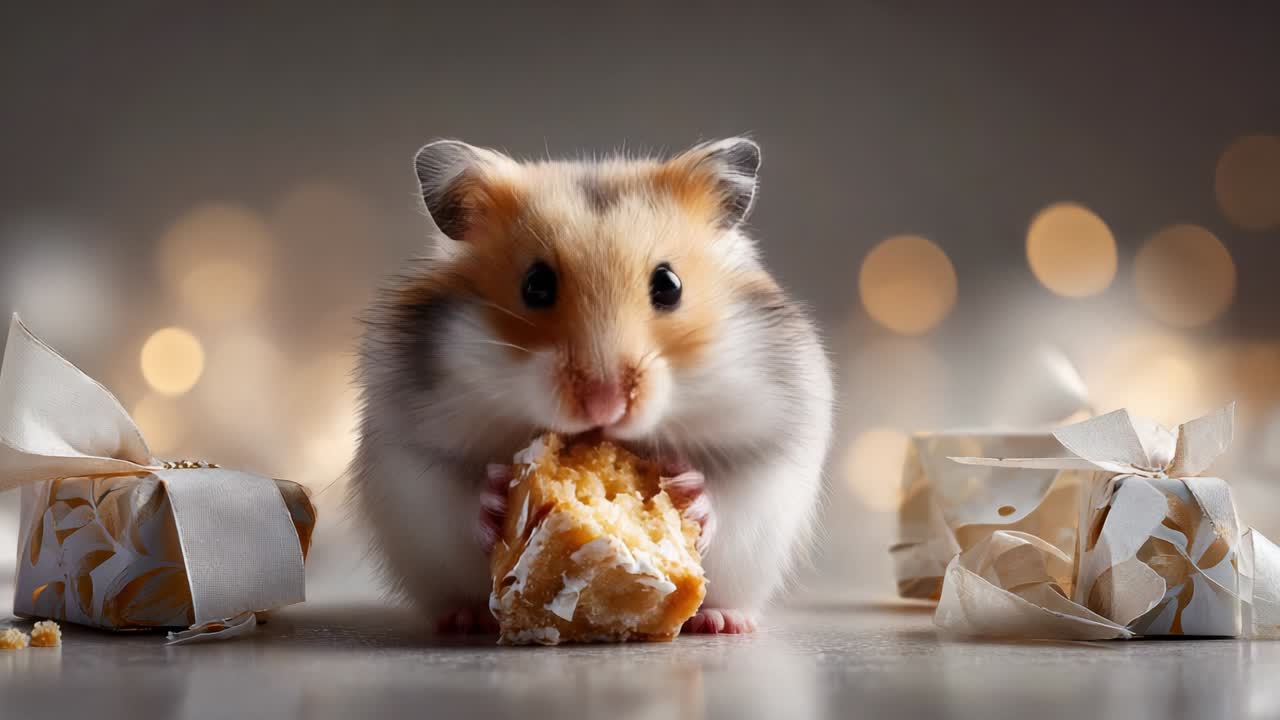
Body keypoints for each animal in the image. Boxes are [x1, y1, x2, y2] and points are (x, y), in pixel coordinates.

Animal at [349, 137, 833, 634]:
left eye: (669, 284)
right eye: (536, 285)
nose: (605, 405)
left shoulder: (762, 458)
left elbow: (728, 494)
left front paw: (692, 495)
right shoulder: (417, 466)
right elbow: (459, 500)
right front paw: (496, 498)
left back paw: (721, 622)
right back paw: (464, 620)